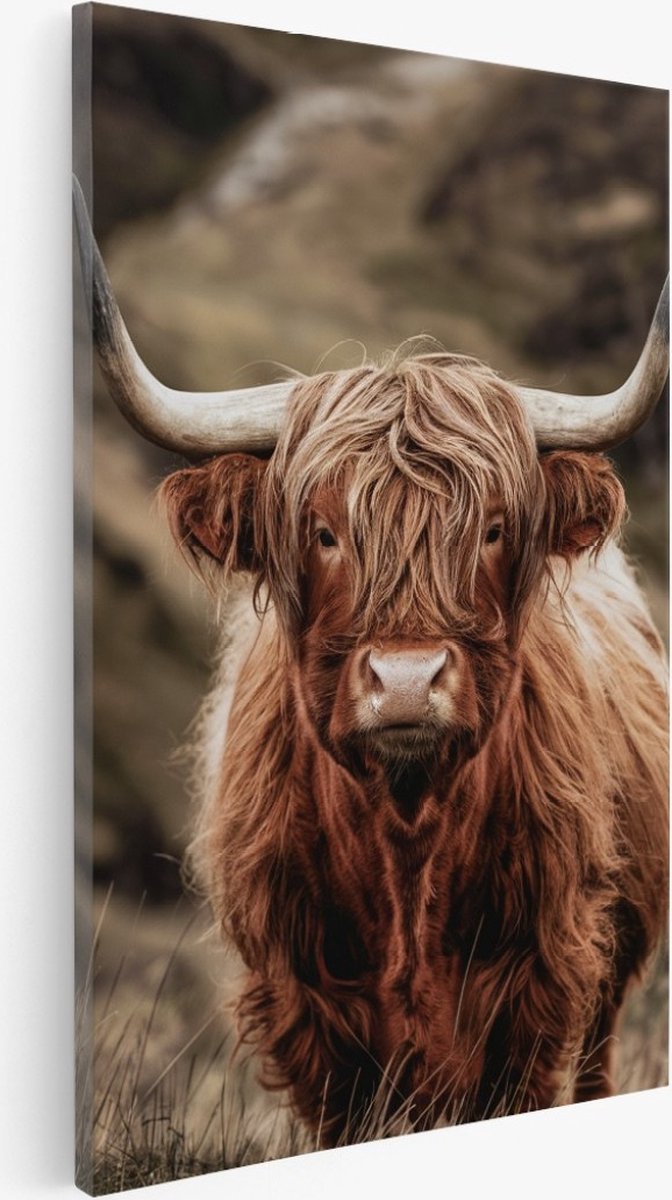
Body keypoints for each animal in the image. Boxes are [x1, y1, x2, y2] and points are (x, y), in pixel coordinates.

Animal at [74, 177, 669, 1146]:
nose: (406, 682)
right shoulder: (309, 1018)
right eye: (323, 532)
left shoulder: (542, 993)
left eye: (492, 529)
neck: (406, 834)